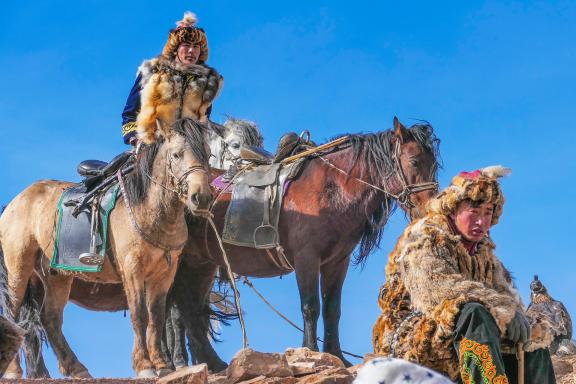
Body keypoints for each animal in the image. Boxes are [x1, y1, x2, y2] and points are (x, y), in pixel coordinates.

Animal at [0, 118, 213, 378]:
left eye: (207, 154)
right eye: (176, 154)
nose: (200, 197)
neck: (149, 208)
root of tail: (15, 202)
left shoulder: (165, 275)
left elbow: (156, 315)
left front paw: (162, 364)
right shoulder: (132, 269)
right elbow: (140, 314)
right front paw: (145, 366)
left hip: (55, 274)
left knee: (50, 318)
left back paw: (77, 369)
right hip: (18, 268)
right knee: (13, 314)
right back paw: (13, 370)